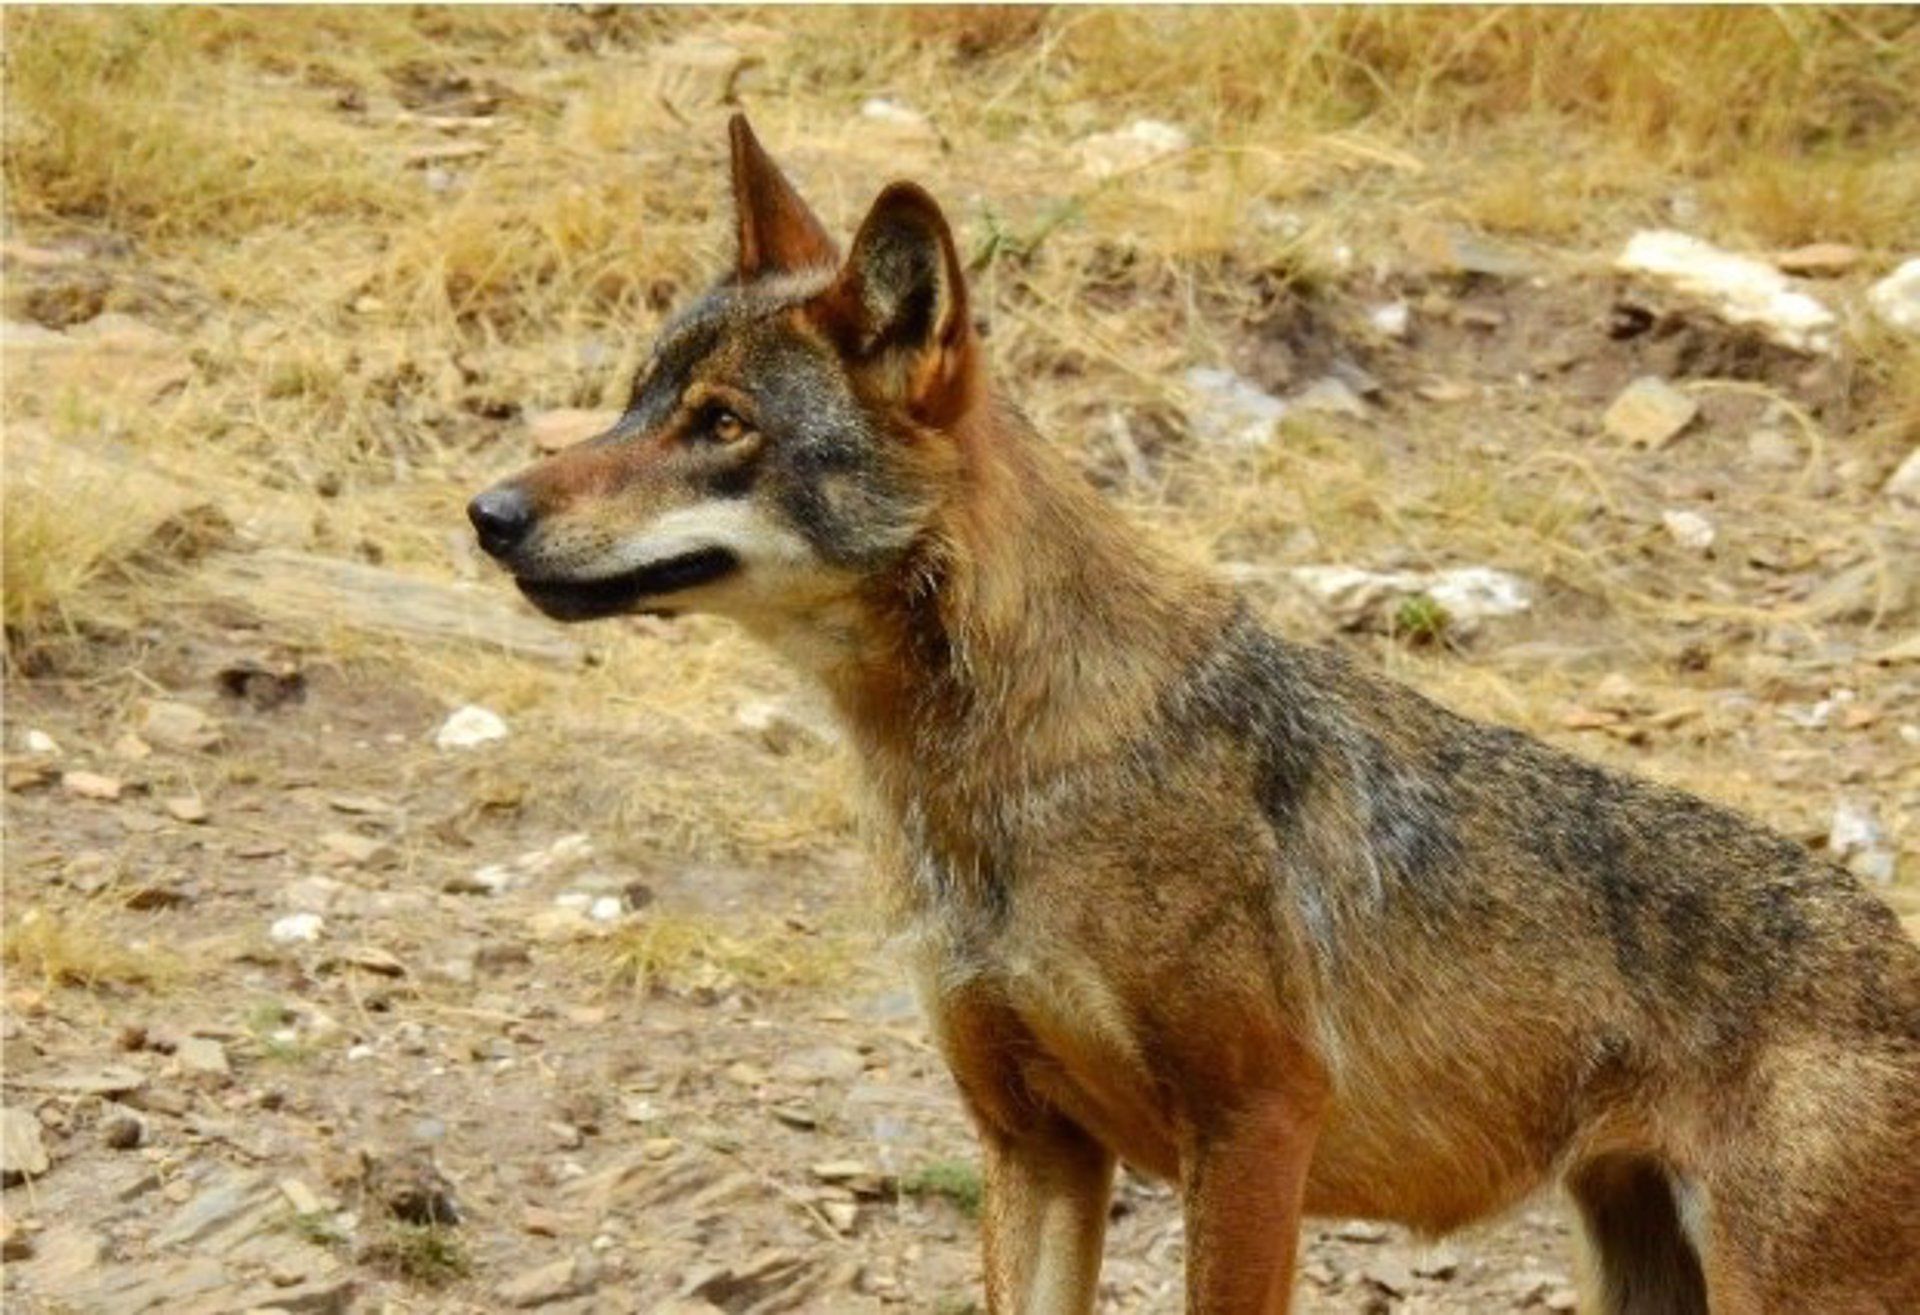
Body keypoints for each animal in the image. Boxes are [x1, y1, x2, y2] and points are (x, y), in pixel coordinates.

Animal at [468, 118, 1920, 1305]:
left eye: (724, 426)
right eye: (638, 400)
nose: (488, 512)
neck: (992, 778)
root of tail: (1893, 946)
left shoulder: (1256, 1125)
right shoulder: (1034, 1141)